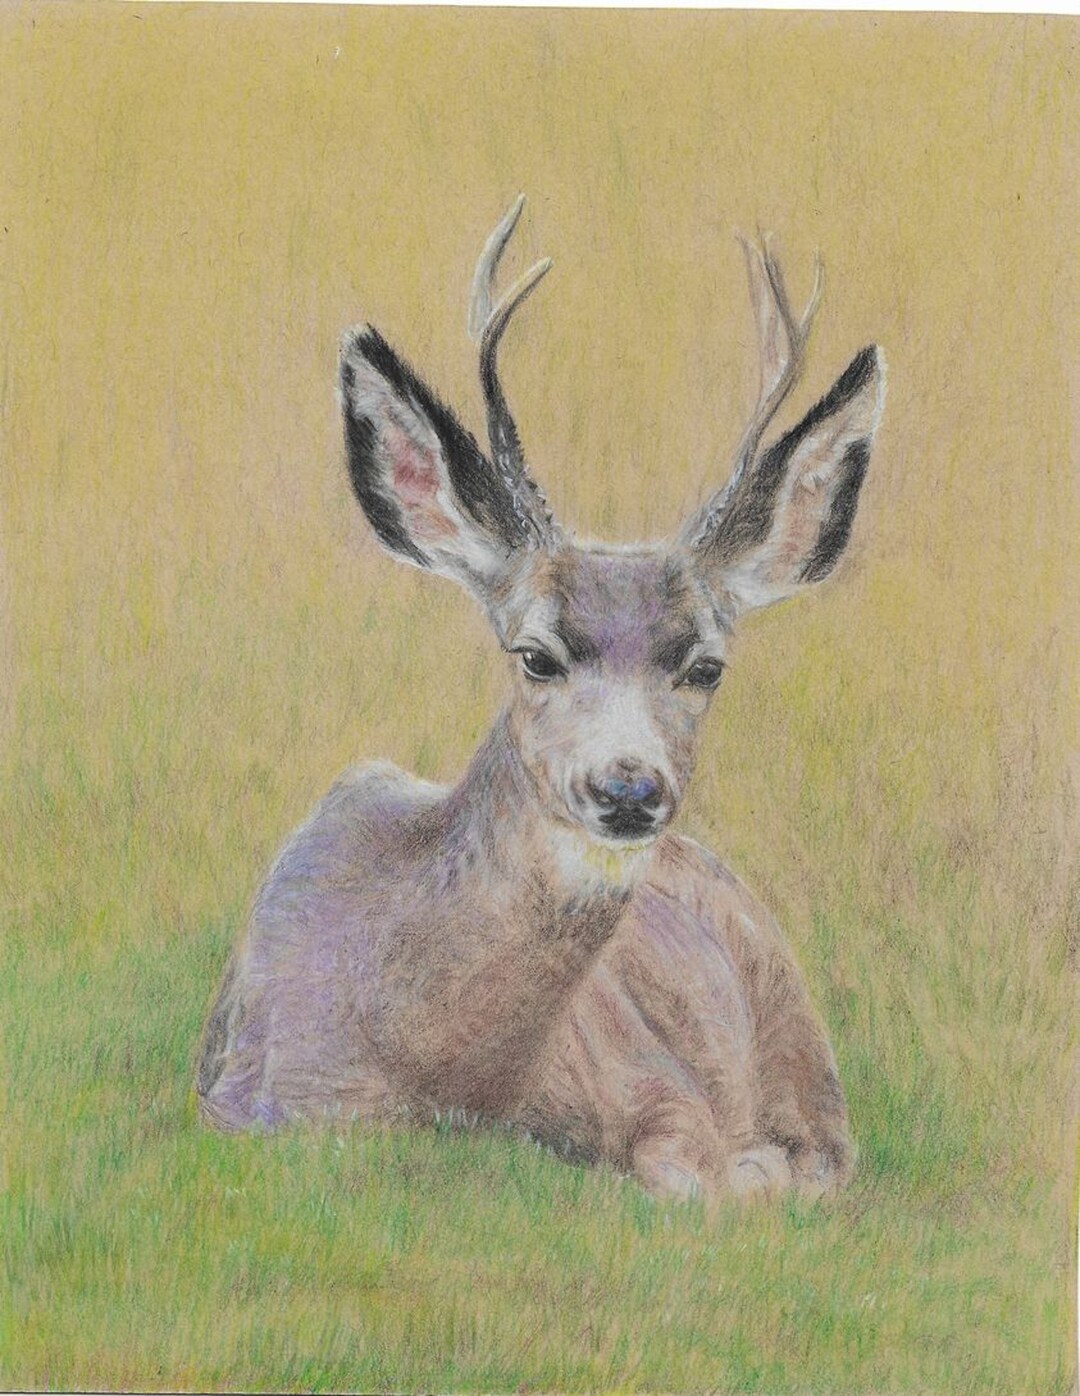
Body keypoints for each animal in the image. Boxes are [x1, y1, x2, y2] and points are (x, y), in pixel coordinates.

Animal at [196, 197, 885, 1201]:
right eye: (535, 655)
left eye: (706, 666)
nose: (628, 788)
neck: (448, 1077)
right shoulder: (259, 1103)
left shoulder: (657, 1081)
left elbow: (705, 1176)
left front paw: (750, 1172)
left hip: (797, 1025)